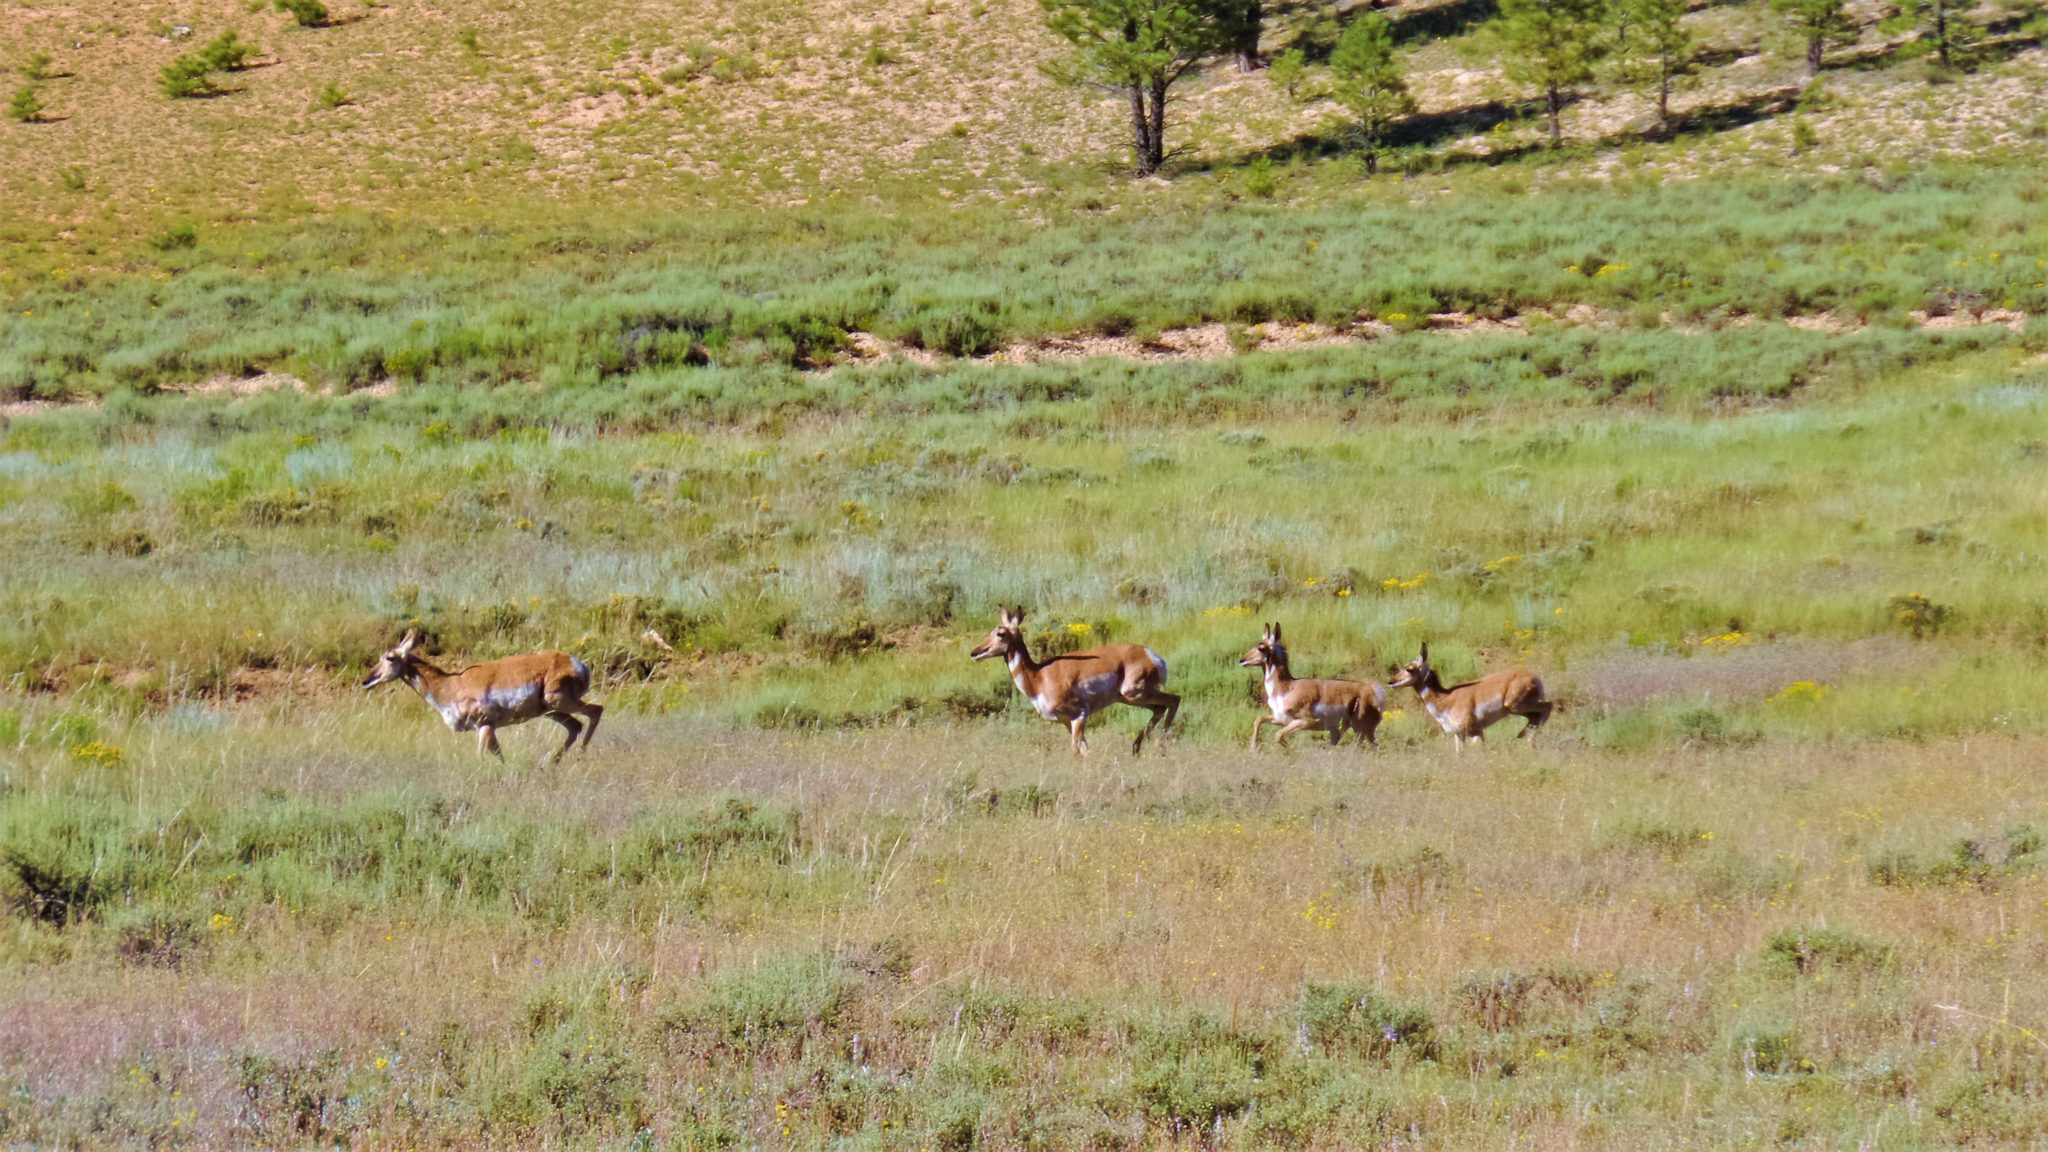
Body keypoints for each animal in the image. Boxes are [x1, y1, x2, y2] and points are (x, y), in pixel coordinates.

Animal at [361, 630, 604, 763]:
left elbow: (480, 757)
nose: (367, 680)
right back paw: (552, 761)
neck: (451, 685)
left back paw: (579, 754)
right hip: (551, 711)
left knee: (596, 711)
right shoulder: (490, 729)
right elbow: (500, 757)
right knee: (575, 726)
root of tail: (577, 663)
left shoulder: (484, 725)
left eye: (390, 657)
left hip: (560, 702)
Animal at [969, 606, 1179, 756]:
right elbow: (1086, 751)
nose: (974, 653)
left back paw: (1161, 745)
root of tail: (1151, 655)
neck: (1039, 676)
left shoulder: (1079, 715)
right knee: (1160, 707)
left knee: (1174, 699)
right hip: (1129, 698)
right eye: (991, 631)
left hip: (1134, 693)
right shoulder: (1066, 722)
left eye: (1000, 633)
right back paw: (1137, 747)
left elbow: (1076, 751)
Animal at [1239, 622, 1386, 750]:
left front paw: (1292, 751)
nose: (1242, 660)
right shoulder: (1281, 719)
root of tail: (1374, 690)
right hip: (1342, 731)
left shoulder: (1306, 721)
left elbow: (1278, 735)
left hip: (1361, 730)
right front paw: (1253, 748)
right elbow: (1259, 719)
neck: (1287, 688)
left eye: (1261, 648)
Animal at [1387, 642, 1552, 751]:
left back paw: (1528, 740)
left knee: (1548, 706)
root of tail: (1534, 677)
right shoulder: (1460, 734)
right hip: (1518, 709)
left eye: (1409, 669)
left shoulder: (1474, 733)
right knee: (1535, 716)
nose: (1391, 682)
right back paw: (1523, 736)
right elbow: (1459, 755)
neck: (1446, 699)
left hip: (1514, 705)